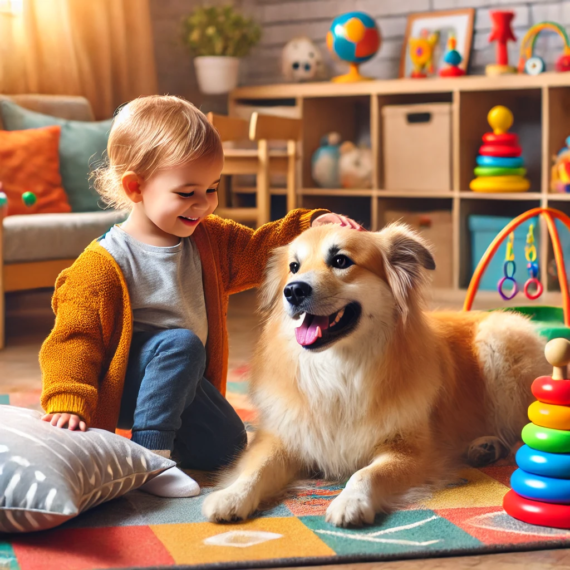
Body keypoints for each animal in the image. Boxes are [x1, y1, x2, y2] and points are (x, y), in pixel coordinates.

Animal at [202, 221, 548, 524]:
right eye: (294, 267)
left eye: (340, 261)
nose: (293, 291)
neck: (338, 369)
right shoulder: (285, 436)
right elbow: (256, 468)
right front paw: (232, 496)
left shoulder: (409, 451)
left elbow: (366, 473)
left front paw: (351, 502)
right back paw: (483, 448)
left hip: (498, 344)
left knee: (521, 433)